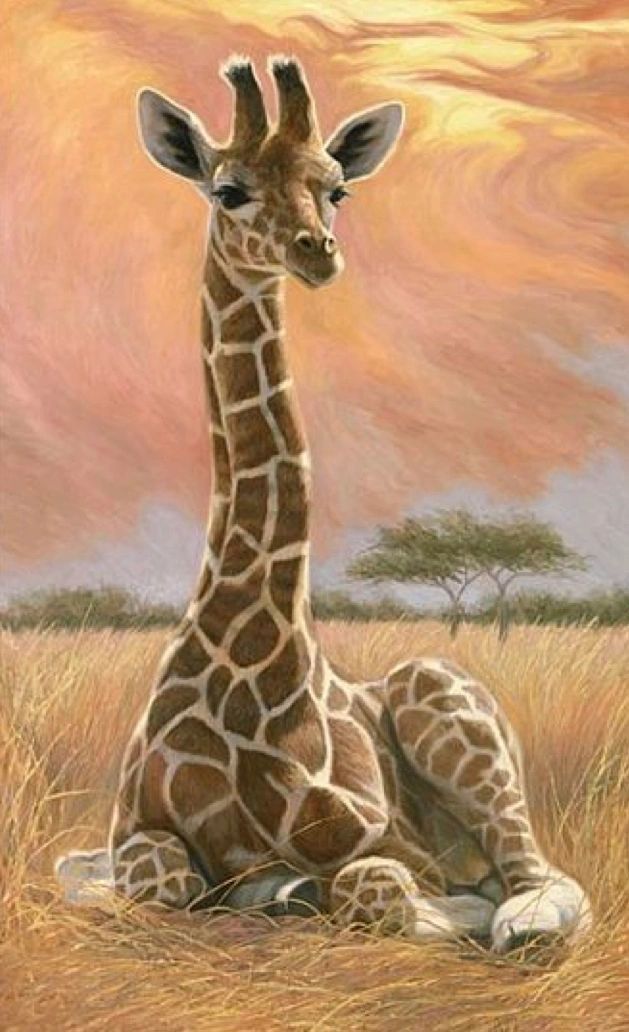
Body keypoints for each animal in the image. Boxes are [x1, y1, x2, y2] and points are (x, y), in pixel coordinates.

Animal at [56, 56, 591, 951]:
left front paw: (414, 906)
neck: (252, 658)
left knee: (539, 878)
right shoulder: (134, 829)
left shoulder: (387, 841)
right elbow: (154, 877)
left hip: (441, 691)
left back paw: (507, 912)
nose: (318, 253)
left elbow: (378, 888)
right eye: (228, 189)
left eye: (334, 188)